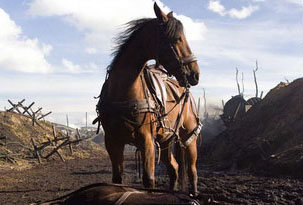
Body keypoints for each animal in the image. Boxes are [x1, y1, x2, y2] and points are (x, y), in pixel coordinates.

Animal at [94, 2, 201, 194]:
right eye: (177, 38)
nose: (195, 74)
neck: (123, 92)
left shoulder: (147, 141)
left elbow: (148, 180)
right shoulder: (112, 141)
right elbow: (117, 179)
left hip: (189, 137)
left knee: (191, 171)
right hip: (166, 140)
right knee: (173, 168)